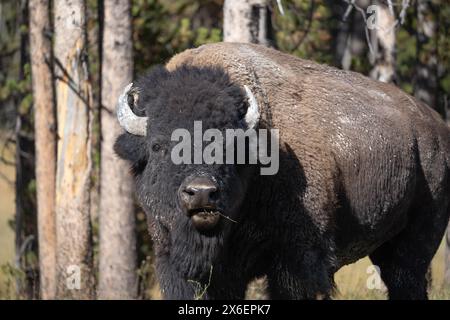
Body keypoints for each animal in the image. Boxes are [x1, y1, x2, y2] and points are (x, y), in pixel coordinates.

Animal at [114, 43, 450, 300]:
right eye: (158, 146)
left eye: (231, 146)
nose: (202, 193)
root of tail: (436, 126)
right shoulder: (179, 265)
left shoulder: (297, 260)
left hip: (416, 244)